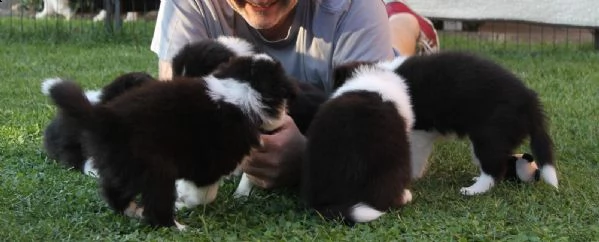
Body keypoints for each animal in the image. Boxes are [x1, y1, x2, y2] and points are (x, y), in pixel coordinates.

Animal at [44, 54, 298, 230]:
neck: (243, 89)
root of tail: (108, 119)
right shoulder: (209, 163)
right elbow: (204, 195)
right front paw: (185, 203)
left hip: (122, 165)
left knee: (115, 193)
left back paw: (134, 211)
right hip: (156, 169)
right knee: (157, 204)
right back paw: (176, 226)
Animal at [336, 50, 560, 195]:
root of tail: (530, 101)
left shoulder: (419, 133)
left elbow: (414, 155)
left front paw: (411, 176)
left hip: (489, 135)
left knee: (494, 167)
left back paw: (474, 190)